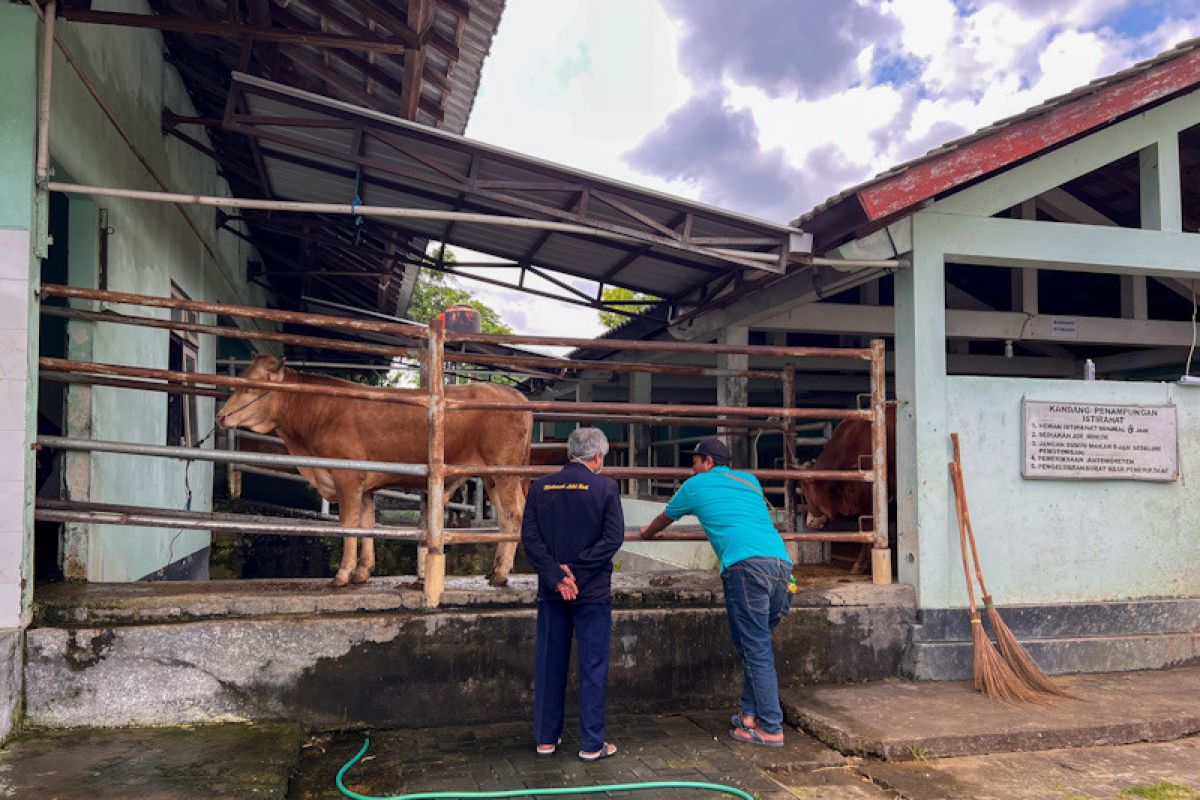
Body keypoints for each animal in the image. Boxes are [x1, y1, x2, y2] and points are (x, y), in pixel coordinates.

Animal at [217, 357, 535, 587]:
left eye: (250, 387)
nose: (221, 416)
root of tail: (515, 394)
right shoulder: (365, 485)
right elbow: (366, 524)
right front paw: (363, 571)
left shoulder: (346, 478)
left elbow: (348, 526)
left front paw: (342, 575)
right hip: (491, 477)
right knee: (505, 518)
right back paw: (495, 571)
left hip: (504, 472)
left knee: (513, 515)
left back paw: (501, 574)